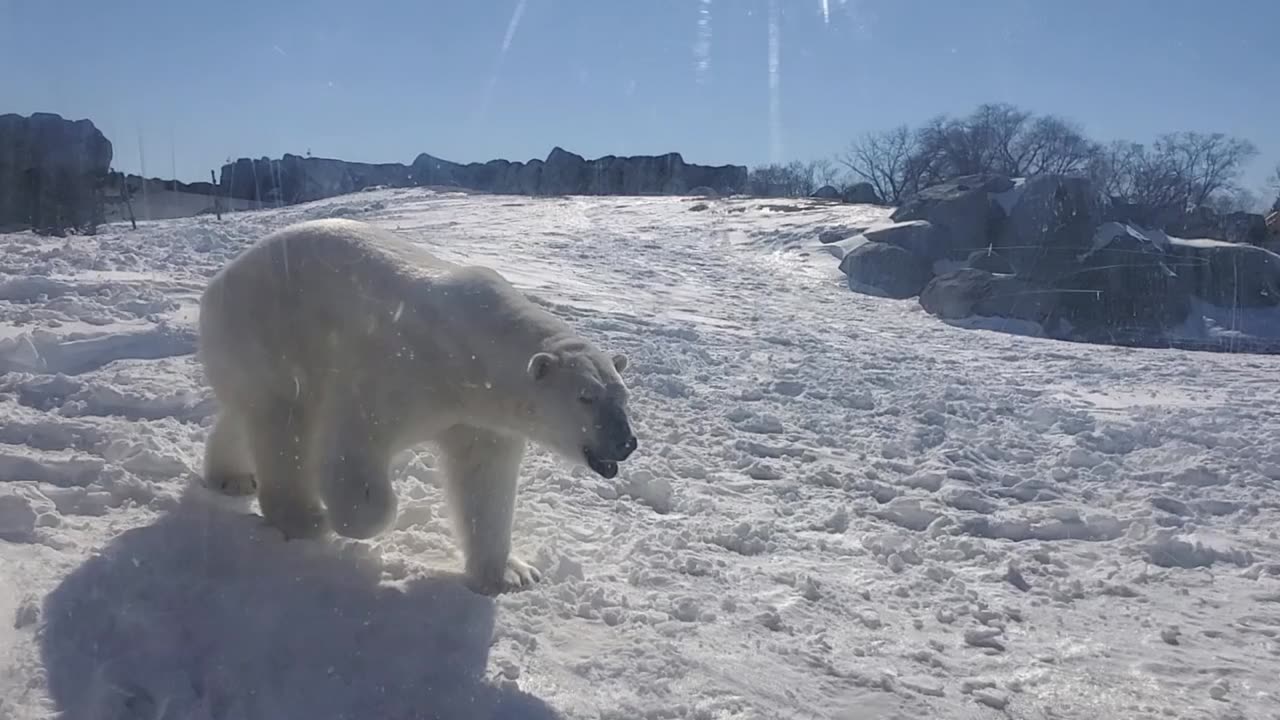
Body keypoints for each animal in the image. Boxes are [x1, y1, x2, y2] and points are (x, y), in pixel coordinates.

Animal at [197, 215, 637, 591]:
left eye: (622, 396)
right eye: (586, 397)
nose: (626, 443)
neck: (471, 356)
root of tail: (217, 283)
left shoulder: (483, 419)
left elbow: (485, 480)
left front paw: (511, 574)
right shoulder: (400, 372)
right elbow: (356, 443)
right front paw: (354, 517)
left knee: (246, 415)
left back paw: (233, 477)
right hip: (268, 333)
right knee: (284, 423)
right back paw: (305, 517)